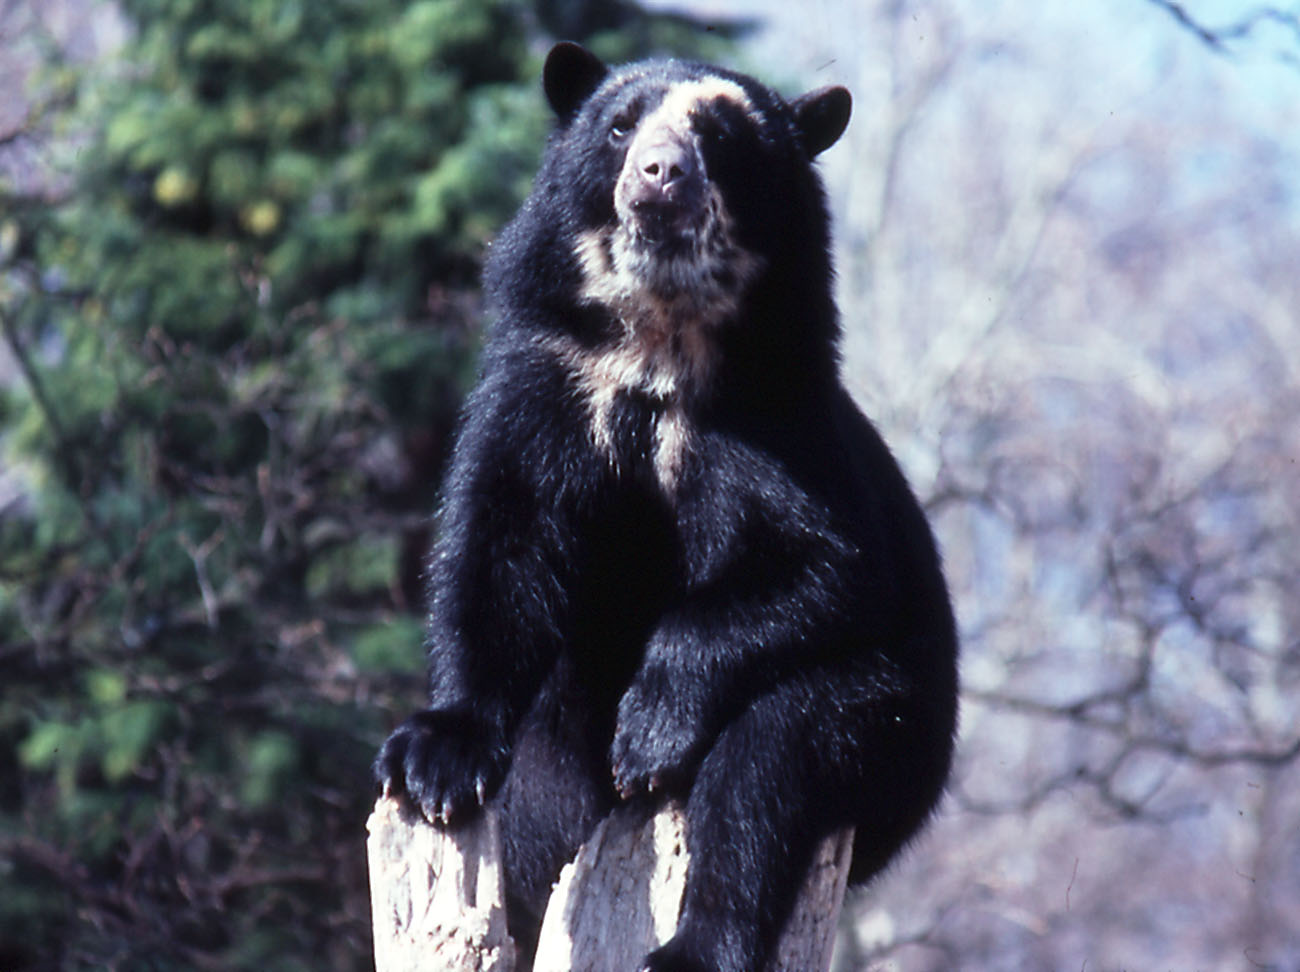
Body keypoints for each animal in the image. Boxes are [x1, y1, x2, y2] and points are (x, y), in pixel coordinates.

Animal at [375, 41, 959, 972]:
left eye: (721, 139)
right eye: (621, 126)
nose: (660, 174)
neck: (658, 340)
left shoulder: (772, 430)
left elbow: (829, 569)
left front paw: (650, 729)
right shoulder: (543, 391)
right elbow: (500, 549)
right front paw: (434, 762)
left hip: (895, 724)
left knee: (771, 764)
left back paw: (692, 939)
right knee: (545, 809)